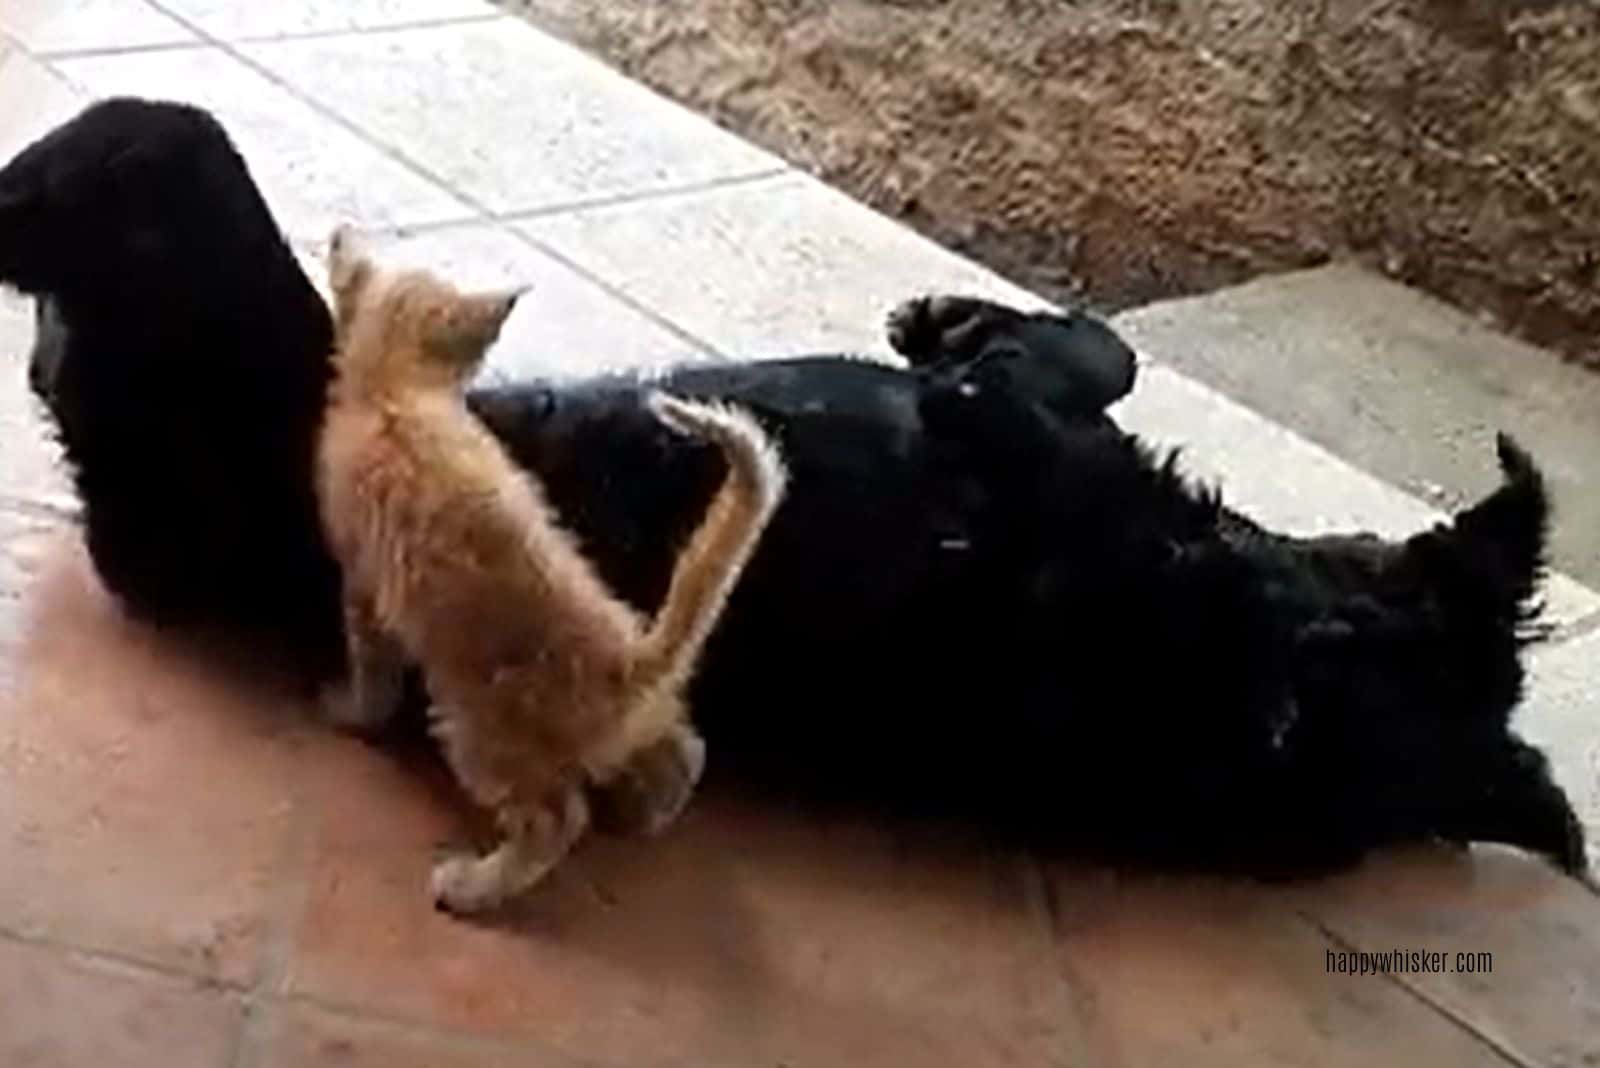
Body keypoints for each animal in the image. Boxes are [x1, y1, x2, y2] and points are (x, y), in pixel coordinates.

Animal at [3, 95, 1587, 882]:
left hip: (249, 360)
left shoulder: (1004, 426)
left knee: (145, 170)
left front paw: (955, 326)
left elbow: (1046, 360)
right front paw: (955, 313)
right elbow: (1105, 346)